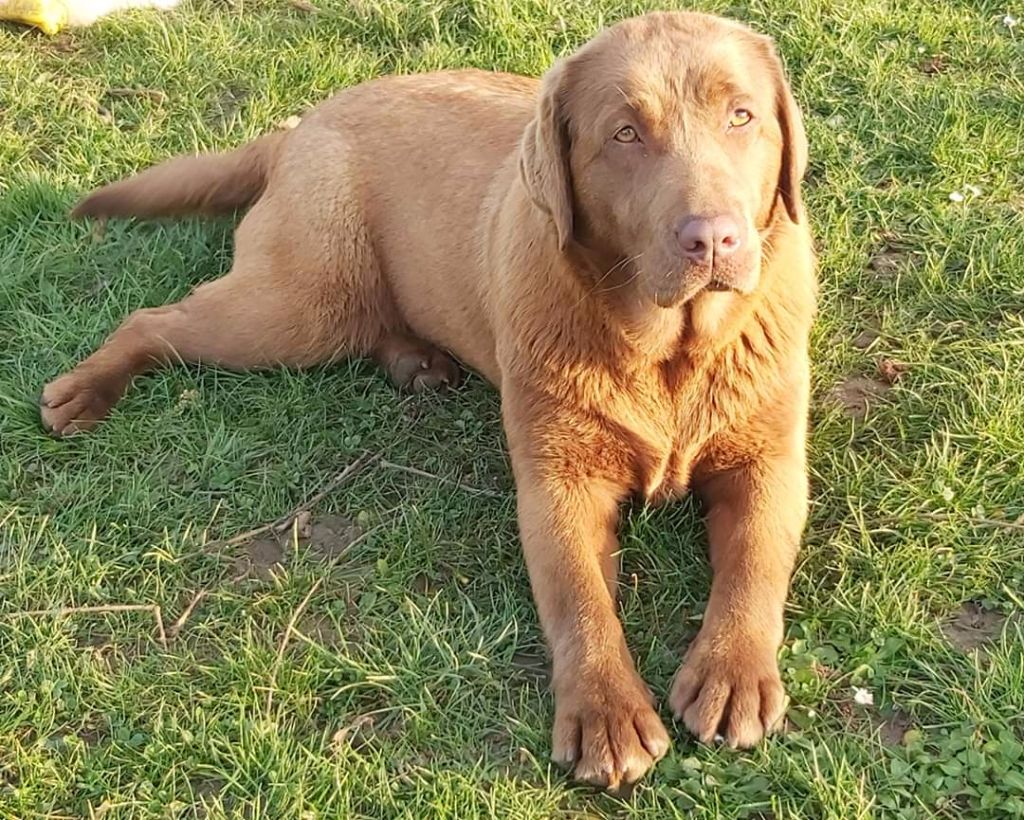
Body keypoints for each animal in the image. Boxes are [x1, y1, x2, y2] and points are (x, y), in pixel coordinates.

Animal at [39, 11, 815, 786]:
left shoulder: (769, 463)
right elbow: (580, 597)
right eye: (625, 134)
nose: (712, 238)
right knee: (154, 321)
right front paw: (606, 714)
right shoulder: (558, 481)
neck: (671, 354)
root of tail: (298, 126)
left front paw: (733, 675)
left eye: (741, 116)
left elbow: (755, 563)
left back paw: (414, 361)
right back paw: (81, 391)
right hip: (299, 306)